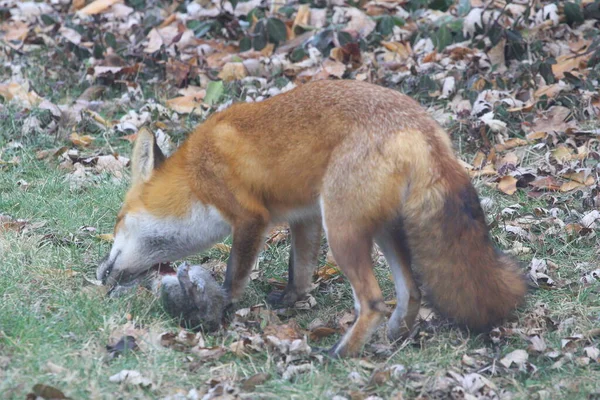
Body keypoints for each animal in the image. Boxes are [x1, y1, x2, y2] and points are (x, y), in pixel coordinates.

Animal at [97, 79, 524, 358]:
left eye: (117, 220)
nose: (100, 273)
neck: (194, 178)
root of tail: (424, 126)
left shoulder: (251, 218)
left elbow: (235, 274)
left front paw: (220, 308)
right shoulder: (304, 217)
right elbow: (299, 270)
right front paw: (289, 301)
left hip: (343, 231)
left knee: (373, 300)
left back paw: (342, 352)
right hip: (381, 229)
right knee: (411, 291)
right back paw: (393, 338)